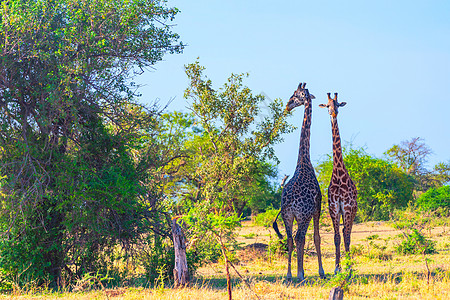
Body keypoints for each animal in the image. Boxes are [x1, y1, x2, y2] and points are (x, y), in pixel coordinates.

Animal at [272, 81, 326, 282]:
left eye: (296, 95)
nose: (288, 105)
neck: (304, 161)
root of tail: (290, 202)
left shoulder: (296, 215)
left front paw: (294, 272)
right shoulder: (317, 207)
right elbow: (317, 237)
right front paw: (321, 271)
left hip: (287, 215)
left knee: (289, 238)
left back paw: (289, 274)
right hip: (302, 215)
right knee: (299, 237)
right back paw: (300, 274)